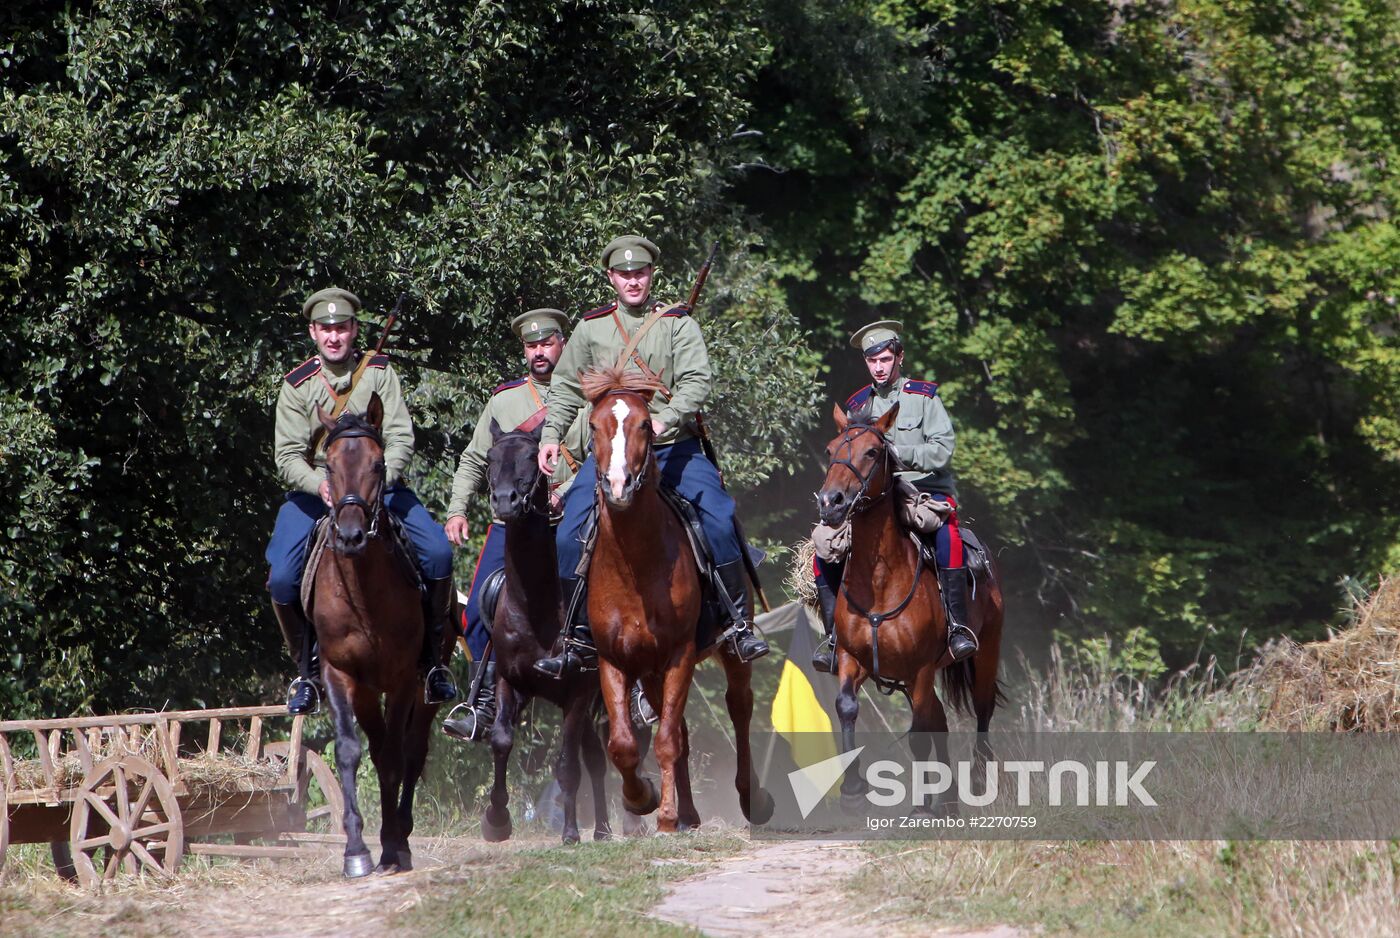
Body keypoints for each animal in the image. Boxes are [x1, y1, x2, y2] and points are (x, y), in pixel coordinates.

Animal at [312, 392, 453, 879]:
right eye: (329, 465)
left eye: (377, 464)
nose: (352, 536)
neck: (363, 591)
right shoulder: (339, 674)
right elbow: (349, 751)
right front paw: (356, 850)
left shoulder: (403, 679)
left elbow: (394, 757)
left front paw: (391, 845)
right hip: (366, 693)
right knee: (375, 748)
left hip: (424, 690)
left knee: (411, 751)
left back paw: (402, 836)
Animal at [579, 364, 778, 834]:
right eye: (594, 425)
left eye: (643, 425)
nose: (618, 485)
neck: (635, 564)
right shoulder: (613, 660)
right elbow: (624, 744)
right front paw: (642, 798)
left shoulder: (680, 653)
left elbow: (668, 739)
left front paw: (666, 817)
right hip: (650, 673)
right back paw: (688, 813)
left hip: (728, 652)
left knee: (739, 709)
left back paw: (749, 799)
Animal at [817, 403, 1002, 806]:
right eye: (831, 449)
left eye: (873, 451)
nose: (830, 503)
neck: (879, 581)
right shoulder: (851, 660)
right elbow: (847, 707)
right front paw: (853, 790)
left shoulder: (919, 669)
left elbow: (919, 733)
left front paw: (920, 808)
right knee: (940, 721)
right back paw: (946, 800)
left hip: (985, 655)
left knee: (982, 714)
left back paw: (977, 785)